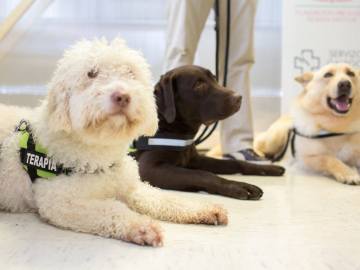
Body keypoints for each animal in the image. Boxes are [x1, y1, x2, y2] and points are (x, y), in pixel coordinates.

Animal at [0, 37, 226, 247]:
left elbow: (164, 198)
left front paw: (205, 209)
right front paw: (142, 226)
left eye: (130, 73)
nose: (122, 96)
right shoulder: (61, 201)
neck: (99, 149)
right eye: (91, 73)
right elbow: (112, 209)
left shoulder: (131, 187)